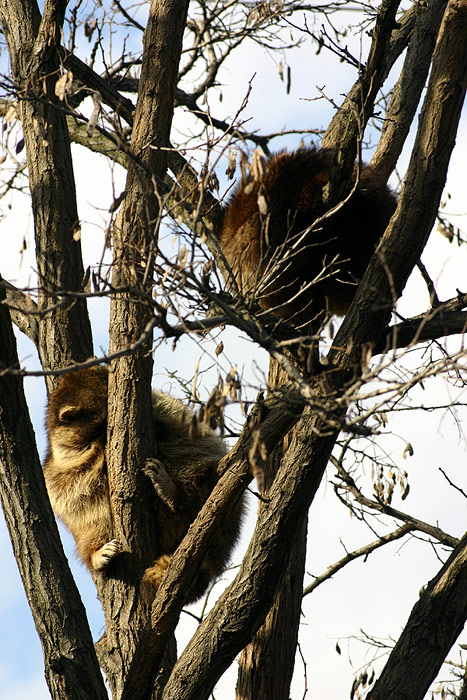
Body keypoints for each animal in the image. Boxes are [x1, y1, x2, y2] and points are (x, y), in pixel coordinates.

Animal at [43, 366, 245, 600]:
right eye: (102, 423)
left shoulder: (162, 408)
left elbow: (175, 423)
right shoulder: (63, 462)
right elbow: (72, 488)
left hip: (208, 479)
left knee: (201, 476)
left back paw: (175, 496)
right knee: (90, 519)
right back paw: (95, 552)